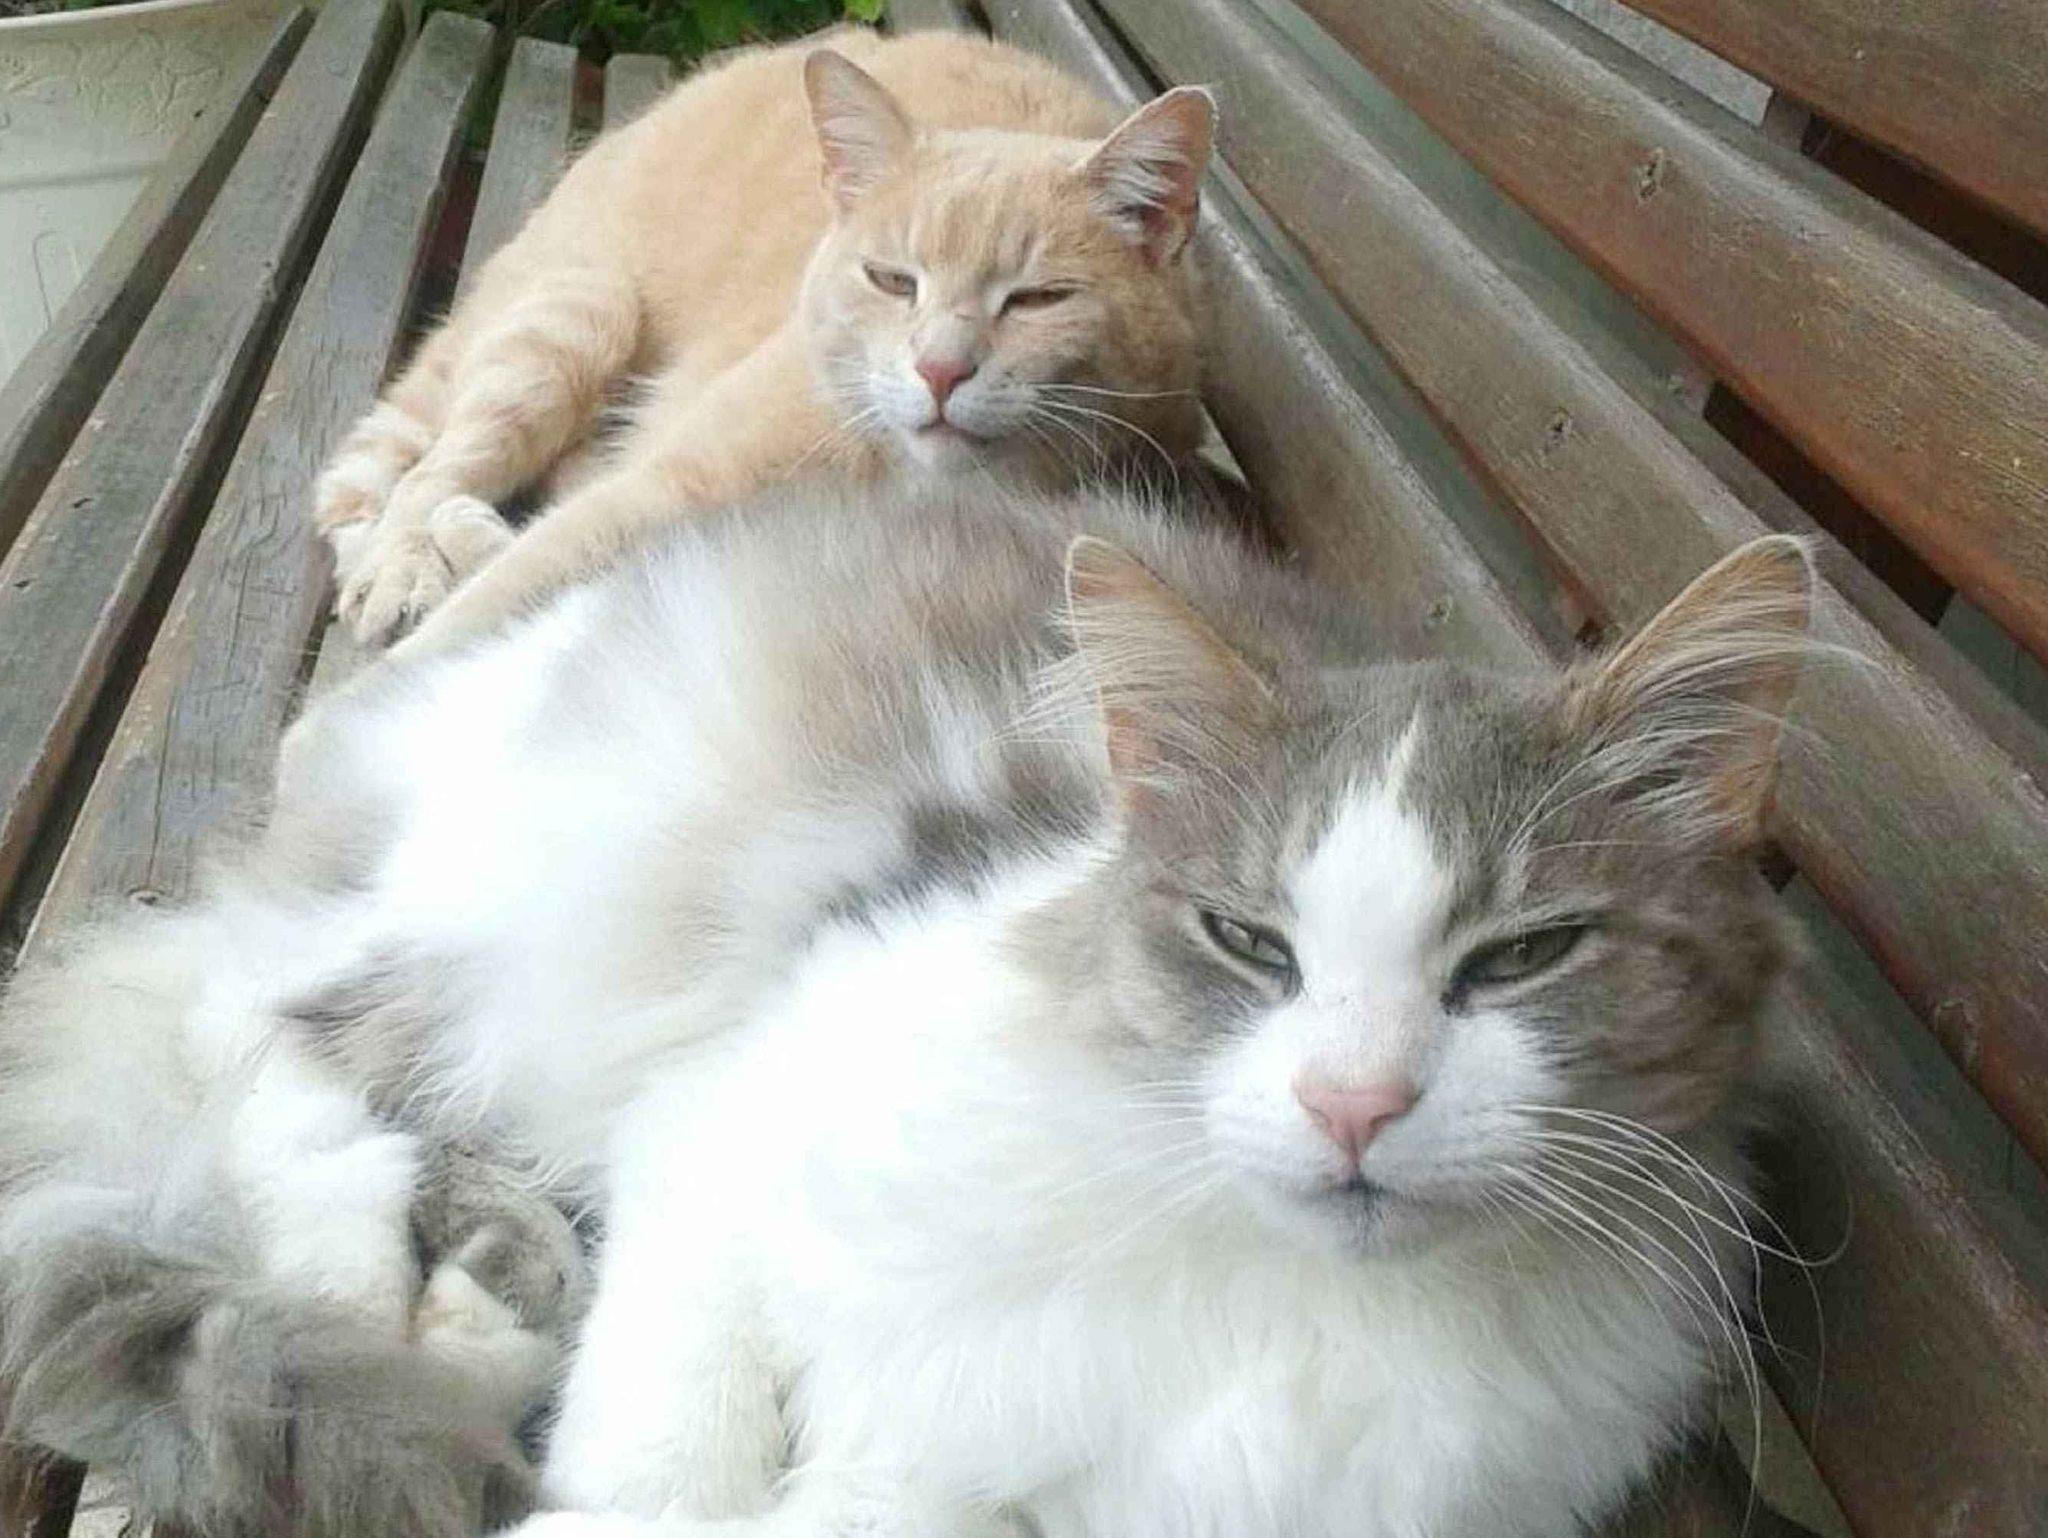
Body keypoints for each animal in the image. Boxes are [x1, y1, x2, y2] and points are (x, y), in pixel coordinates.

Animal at [0, 476, 1814, 1537]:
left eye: (1521, 956)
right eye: (1248, 940)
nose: (1354, 1105)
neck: (1273, 1296)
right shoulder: (729, 1121)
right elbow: (668, 1459)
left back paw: (477, 1298)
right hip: (492, 913)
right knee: (254, 1031)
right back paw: (350, 1290)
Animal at [313, 27, 1215, 649]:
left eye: (1038, 299)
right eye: (893, 281)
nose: (939, 371)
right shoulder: (666, 486)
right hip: (575, 324)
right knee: (427, 474)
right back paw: (405, 562)